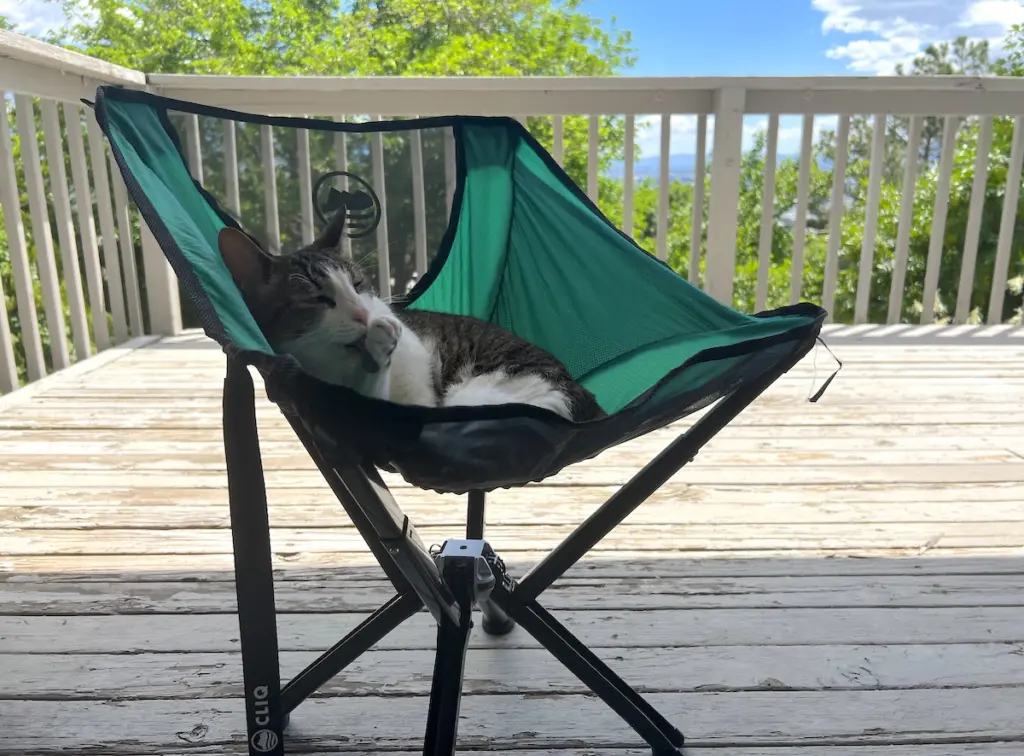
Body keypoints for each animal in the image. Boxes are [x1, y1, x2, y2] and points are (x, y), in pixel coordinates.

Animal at [214, 215, 598, 422]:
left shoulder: (418, 398)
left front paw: (382, 343)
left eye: (357, 285)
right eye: (318, 299)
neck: (340, 370)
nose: (364, 313)